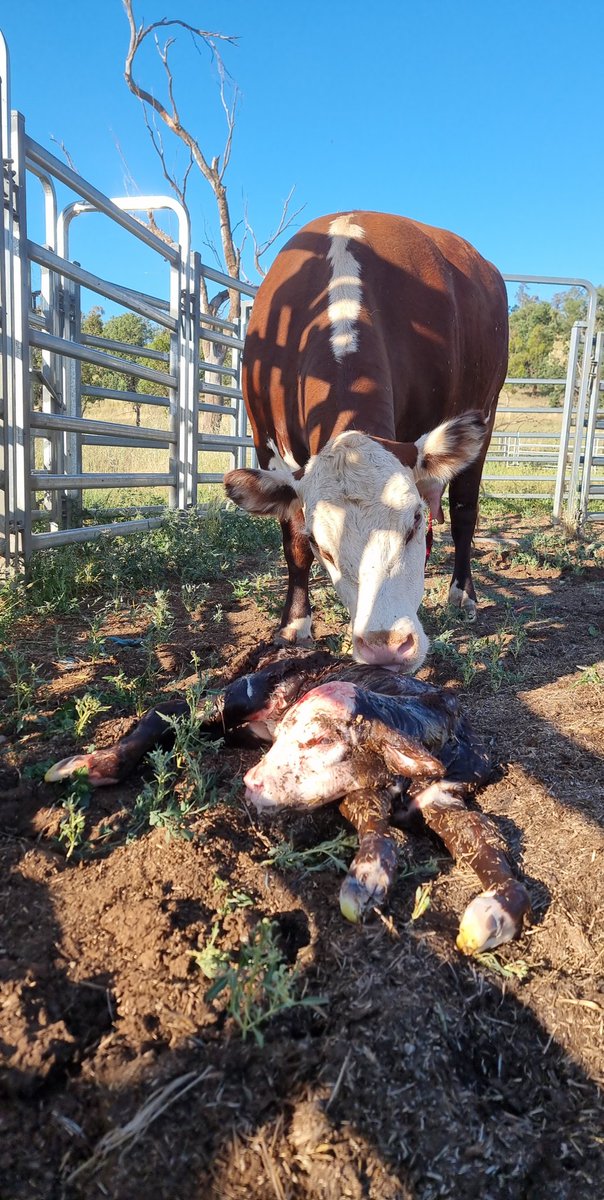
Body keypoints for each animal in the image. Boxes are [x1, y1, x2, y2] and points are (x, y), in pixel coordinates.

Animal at [224, 211, 508, 669]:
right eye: (323, 545)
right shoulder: (267, 444)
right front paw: (294, 623)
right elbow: (292, 543)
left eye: (414, 523)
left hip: (488, 407)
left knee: (465, 512)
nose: (386, 646)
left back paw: (462, 593)